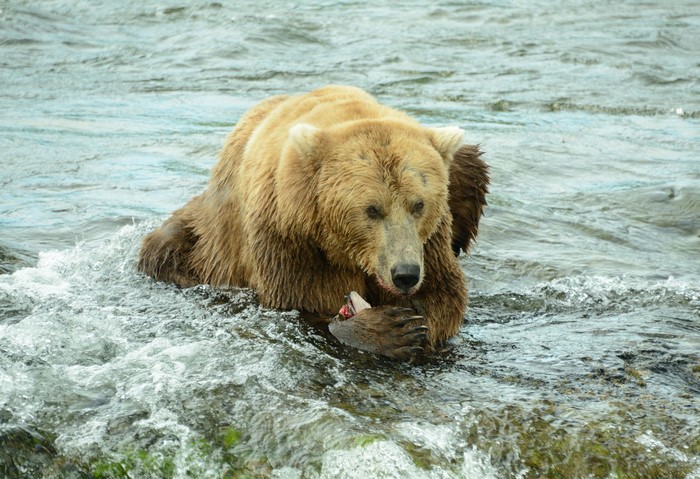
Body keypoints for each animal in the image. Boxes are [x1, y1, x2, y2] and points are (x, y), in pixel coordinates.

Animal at [138, 85, 489, 360]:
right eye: (372, 209)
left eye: (418, 205)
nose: (405, 274)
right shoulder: (289, 239)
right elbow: (298, 306)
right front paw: (386, 329)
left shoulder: (430, 241)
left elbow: (444, 299)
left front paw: (412, 321)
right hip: (206, 240)